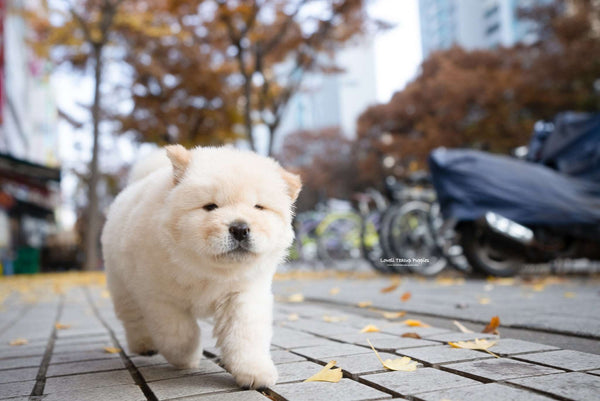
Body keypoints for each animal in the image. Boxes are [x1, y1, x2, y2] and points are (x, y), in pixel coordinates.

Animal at [102, 145, 302, 390]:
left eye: (258, 207)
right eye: (210, 207)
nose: (240, 228)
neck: (209, 270)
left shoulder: (243, 293)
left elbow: (245, 334)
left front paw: (255, 373)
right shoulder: (160, 297)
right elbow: (178, 332)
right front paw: (187, 357)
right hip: (122, 284)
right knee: (134, 318)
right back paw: (145, 345)